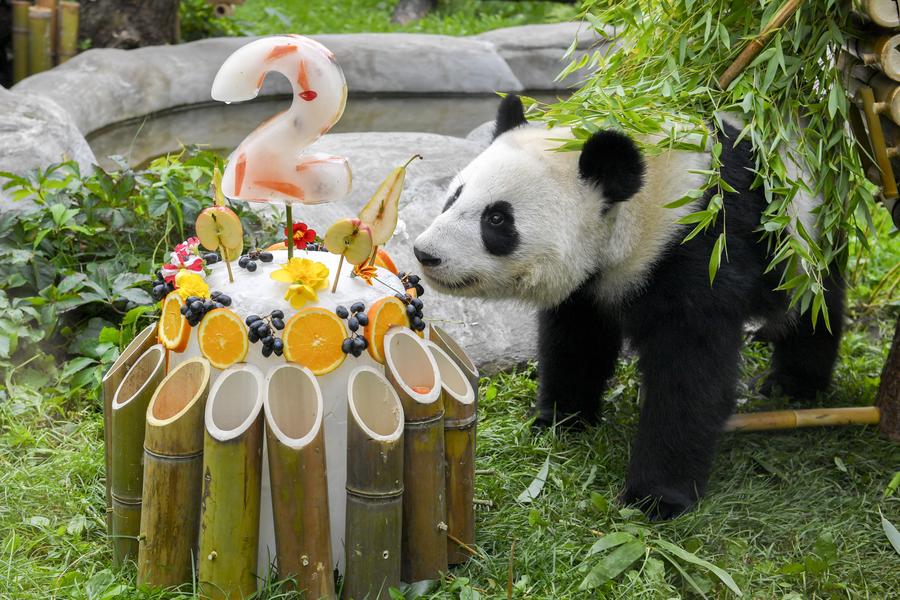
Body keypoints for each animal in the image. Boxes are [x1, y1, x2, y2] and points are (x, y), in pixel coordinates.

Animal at [413, 95, 844, 519]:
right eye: (455, 195)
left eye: (498, 219)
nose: (425, 253)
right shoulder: (589, 283)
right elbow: (576, 342)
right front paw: (560, 420)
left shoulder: (703, 244)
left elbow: (689, 372)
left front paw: (655, 497)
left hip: (806, 231)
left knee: (815, 304)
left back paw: (792, 381)